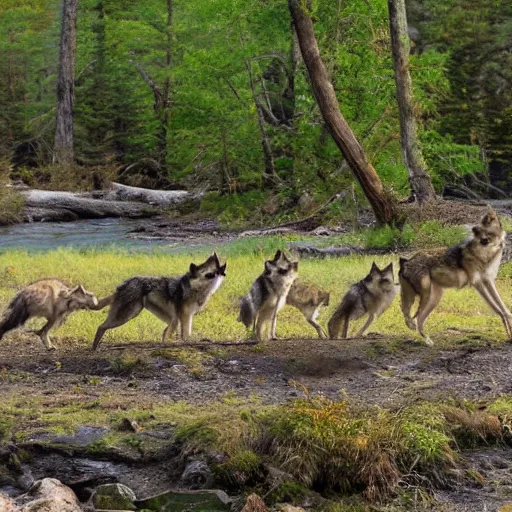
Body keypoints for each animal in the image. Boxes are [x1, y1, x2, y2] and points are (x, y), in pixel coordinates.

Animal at [91, 253, 226, 350]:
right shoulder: (185, 316)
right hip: (127, 315)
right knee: (101, 326)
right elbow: (186, 334)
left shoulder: (185, 316)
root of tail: (122, 285)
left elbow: (181, 334)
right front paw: (187, 343)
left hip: (170, 319)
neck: (193, 287)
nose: (214, 253)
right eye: (203, 265)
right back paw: (95, 348)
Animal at [400, 206, 512, 346]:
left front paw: (510, 333)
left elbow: (504, 309)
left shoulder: (488, 282)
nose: (474, 228)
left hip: (434, 298)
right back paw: (418, 332)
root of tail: (406, 261)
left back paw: (429, 342)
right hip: (424, 296)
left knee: (418, 319)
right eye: (477, 229)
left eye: (486, 223)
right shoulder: (478, 283)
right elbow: (499, 309)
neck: (486, 253)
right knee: (410, 317)